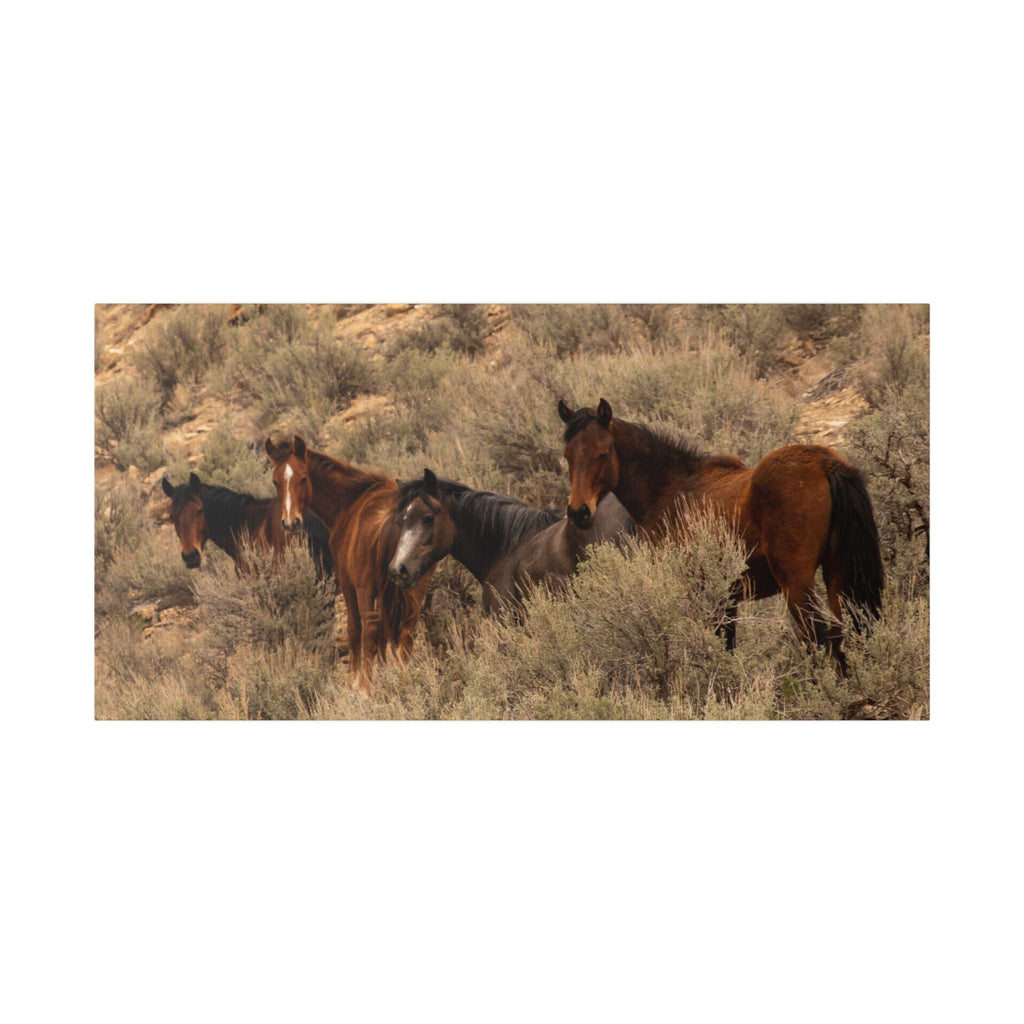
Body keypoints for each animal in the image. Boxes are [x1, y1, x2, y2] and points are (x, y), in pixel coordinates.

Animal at [265, 435, 432, 695]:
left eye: (303, 478)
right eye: (276, 482)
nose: (291, 523)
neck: (350, 502)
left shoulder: (348, 583)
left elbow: (355, 630)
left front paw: (356, 681)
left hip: (367, 589)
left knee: (369, 629)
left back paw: (366, 687)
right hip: (415, 587)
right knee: (406, 630)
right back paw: (406, 678)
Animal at [558, 398, 884, 674]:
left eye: (602, 453)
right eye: (567, 456)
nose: (578, 512)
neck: (670, 490)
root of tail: (826, 464)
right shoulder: (726, 599)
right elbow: (727, 648)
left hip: (797, 584)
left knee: (822, 640)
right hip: (836, 576)